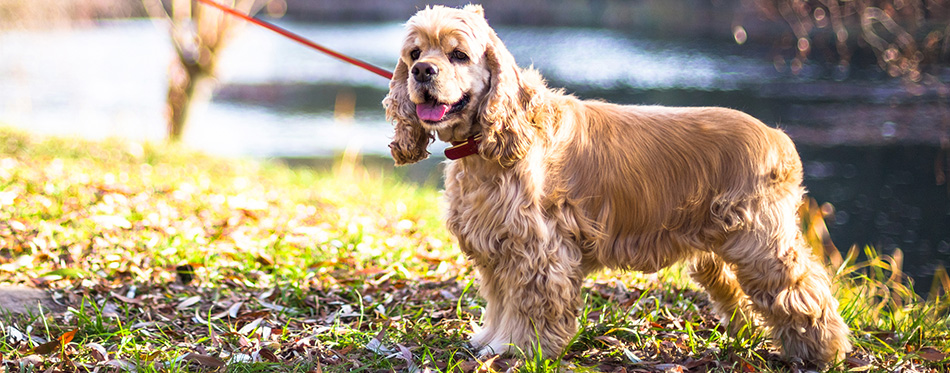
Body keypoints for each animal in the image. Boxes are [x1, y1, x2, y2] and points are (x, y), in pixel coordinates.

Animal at [384, 5, 852, 366]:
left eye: (458, 54)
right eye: (415, 53)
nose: (422, 71)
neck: (486, 146)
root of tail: (778, 139)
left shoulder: (538, 251)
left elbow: (532, 307)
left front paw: (521, 349)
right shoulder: (495, 248)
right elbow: (500, 301)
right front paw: (491, 340)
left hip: (761, 244)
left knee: (804, 292)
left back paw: (824, 352)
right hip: (718, 251)